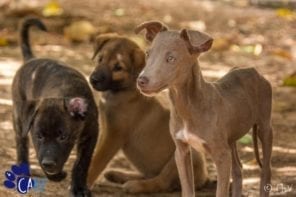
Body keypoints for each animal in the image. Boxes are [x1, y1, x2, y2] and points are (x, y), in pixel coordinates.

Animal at [11, 17, 98, 197]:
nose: (49, 164)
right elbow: (39, 153)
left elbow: (81, 163)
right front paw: (56, 176)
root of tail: (30, 59)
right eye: (39, 136)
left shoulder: (91, 134)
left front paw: (79, 187)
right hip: (18, 119)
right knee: (21, 145)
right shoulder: (36, 140)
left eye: (63, 137)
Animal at [86, 33, 209, 192]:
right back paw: (119, 175)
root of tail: (205, 177)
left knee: (161, 182)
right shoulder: (106, 130)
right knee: (149, 175)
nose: (93, 80)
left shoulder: (113, 136)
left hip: (182, 156)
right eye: (100, 59)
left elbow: (97, 162)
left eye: (118, 68)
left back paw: (135, 185)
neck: (122, 91)